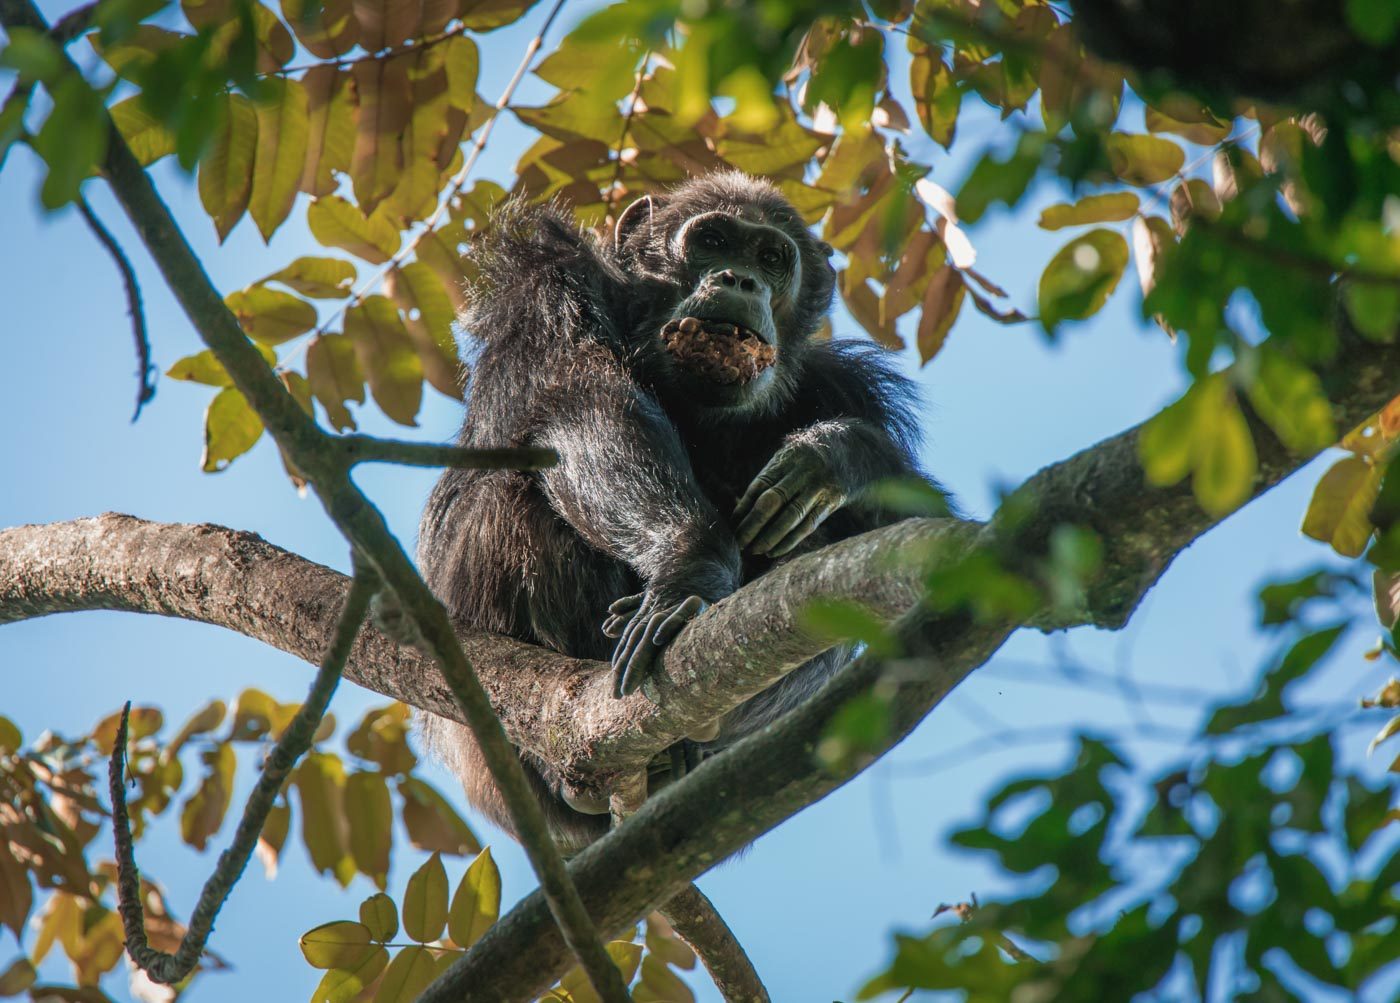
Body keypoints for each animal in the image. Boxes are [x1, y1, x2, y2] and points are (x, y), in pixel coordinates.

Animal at [414, 172, 940, 851]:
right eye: (712, 240)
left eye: (772, 258)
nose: (739, 279)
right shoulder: (545, 288)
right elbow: (585, 408)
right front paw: (690, 569)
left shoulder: (845, 385)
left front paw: (835, 456)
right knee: (519, 493)